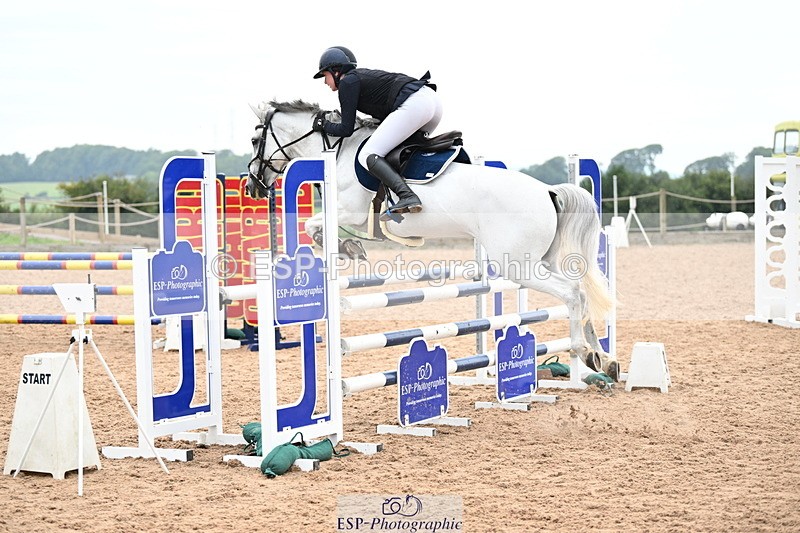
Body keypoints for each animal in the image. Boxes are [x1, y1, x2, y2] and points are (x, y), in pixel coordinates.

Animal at [247, 99, 619, 380]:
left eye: (253, 141)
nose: (251, 185)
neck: (338, 151)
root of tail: (547, 191)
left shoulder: (350, 210)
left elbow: (314, 226)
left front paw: (348, 247)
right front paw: (349, 247)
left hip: (517, 265)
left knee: (571, 293)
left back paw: (582, 350)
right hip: (540, 259)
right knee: (581, 292)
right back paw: (602, 358)